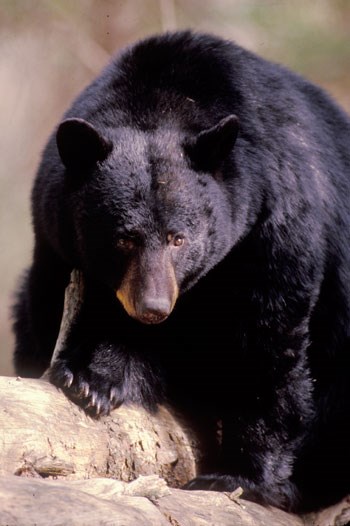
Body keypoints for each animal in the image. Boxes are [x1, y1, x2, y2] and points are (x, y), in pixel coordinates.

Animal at [12, 31, 350, 512]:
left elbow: (270, 342)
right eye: (125, 238)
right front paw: (91, 377)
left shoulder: (275, 224)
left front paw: (238, 476)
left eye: (179, 238)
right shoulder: (55, 234)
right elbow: (58, 308)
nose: (152, 307)